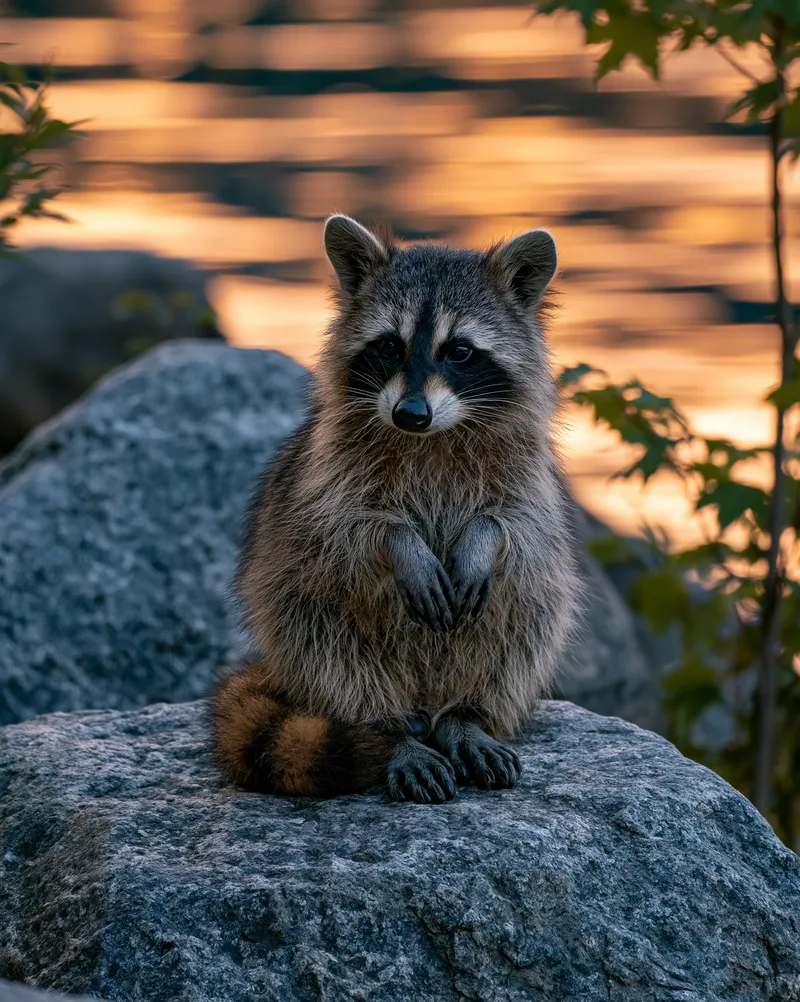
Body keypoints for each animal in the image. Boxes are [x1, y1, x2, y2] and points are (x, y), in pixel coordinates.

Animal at [211, 214, 579, 804]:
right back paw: (388, 734)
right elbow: (338, 523)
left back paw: (465, 717)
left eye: (459, 351)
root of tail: (421, 699)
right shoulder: (325, 466)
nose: (410, 414)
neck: (435, 436)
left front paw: (483, 536)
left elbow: (522, 521)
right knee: (327, 644)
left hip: (513, 617)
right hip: (297, 614)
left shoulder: (528, 470)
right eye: (388, 345)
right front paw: (400, 542)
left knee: (527, 615)